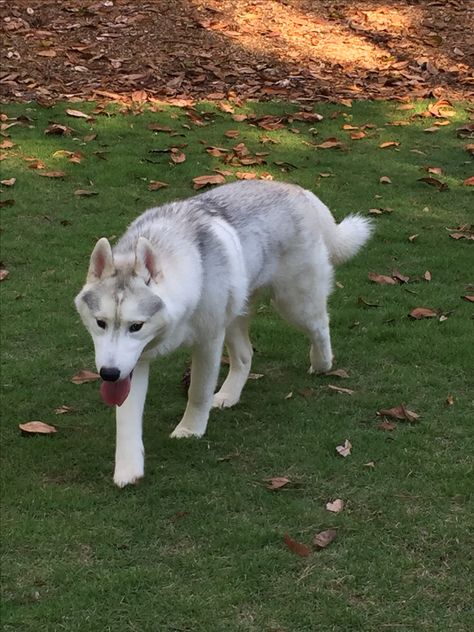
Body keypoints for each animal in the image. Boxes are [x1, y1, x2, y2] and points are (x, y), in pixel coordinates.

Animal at [74, 180, 372, 486]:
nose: (108, 374)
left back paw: (322, 363)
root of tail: (299, 190)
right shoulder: (136, 361)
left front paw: (190, 430)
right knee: (245, 356)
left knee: (320, 325)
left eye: (136, 326)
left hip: (294, 303)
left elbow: (198, 391)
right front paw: (128, 467)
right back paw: (229, 394)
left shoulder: (208, 341)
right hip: (236, 317)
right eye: (100, 323)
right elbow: (126, 418)